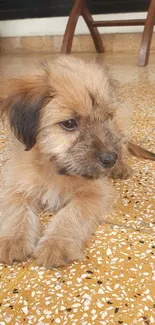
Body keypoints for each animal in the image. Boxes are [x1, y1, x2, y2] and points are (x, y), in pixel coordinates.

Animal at [0, 56, 154, 268]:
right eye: (69, 123)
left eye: (107, 117)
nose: (110, 159)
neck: (53, 169)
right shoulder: (16, 184)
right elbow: (16, 209)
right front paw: (12, 239)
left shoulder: (94, 193)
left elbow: (71, 214)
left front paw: (56, 243)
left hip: (121, 123)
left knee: (122, 143)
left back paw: (121, 166)